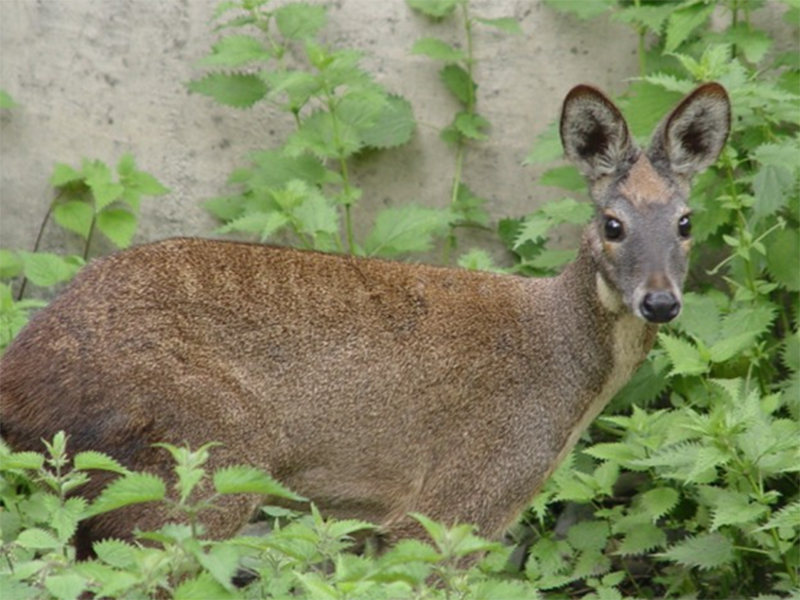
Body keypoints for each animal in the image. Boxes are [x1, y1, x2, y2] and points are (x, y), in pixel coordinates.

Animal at [0, 83, 728, 556]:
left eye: (686, 222)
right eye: (613, 224)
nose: (660, 301)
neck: (566, 377)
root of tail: (19, 375)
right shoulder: (455, 500)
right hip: (200, 458)